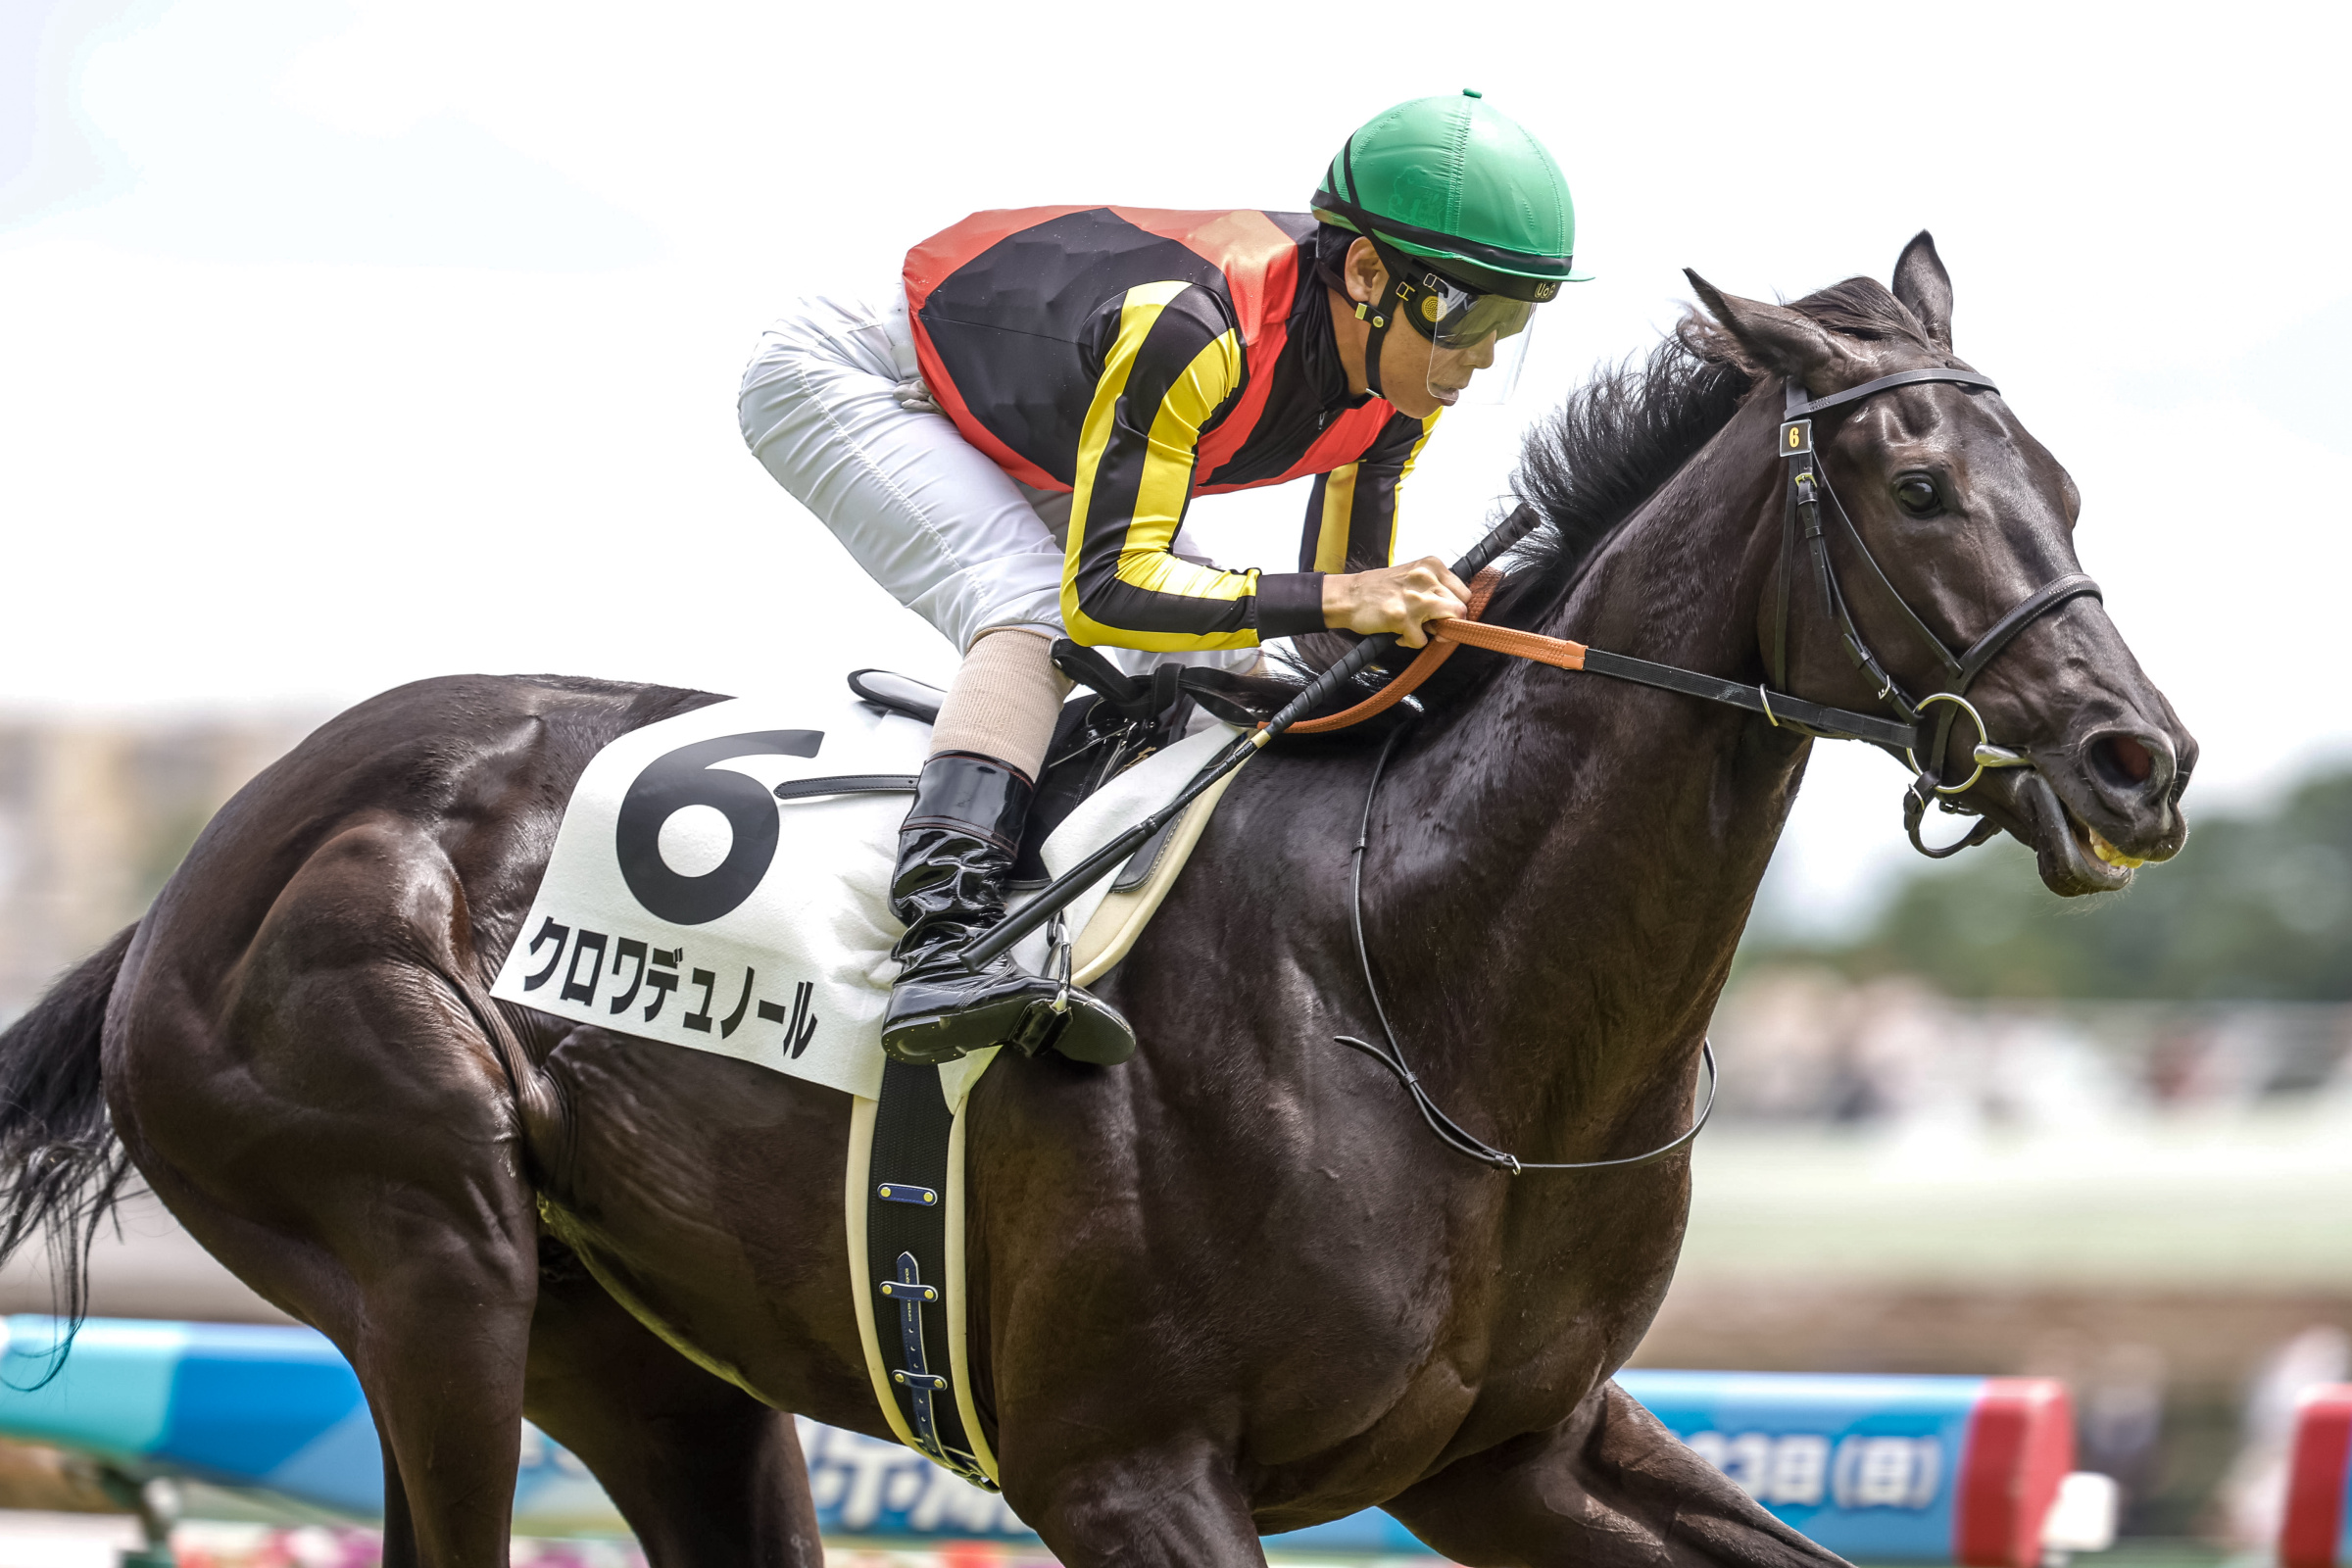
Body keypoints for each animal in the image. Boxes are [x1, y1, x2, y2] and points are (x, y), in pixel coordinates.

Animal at [0, 235, 2192, 1568]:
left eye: (2070, 489)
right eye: (1921, 490)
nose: (2139, 763)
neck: (1429, 982)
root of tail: (208, 867)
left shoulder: (1518, 1452)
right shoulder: (1121, 1470)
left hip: (649, 1359)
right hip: (429, 1252)